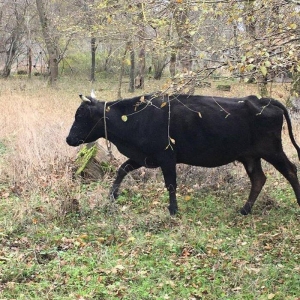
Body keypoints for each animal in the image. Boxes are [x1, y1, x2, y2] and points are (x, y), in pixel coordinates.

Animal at [66, 92, 300, 214]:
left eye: (80, 115)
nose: (68, 139)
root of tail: (262, 99)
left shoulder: (166, 157)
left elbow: (170, 184)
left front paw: (173, 210)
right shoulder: (144, 156)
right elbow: (122, 169)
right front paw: (112, 195)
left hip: (272, 150)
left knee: (290, 170)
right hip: (250, 156)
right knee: (259, 178)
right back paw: (245, 209)